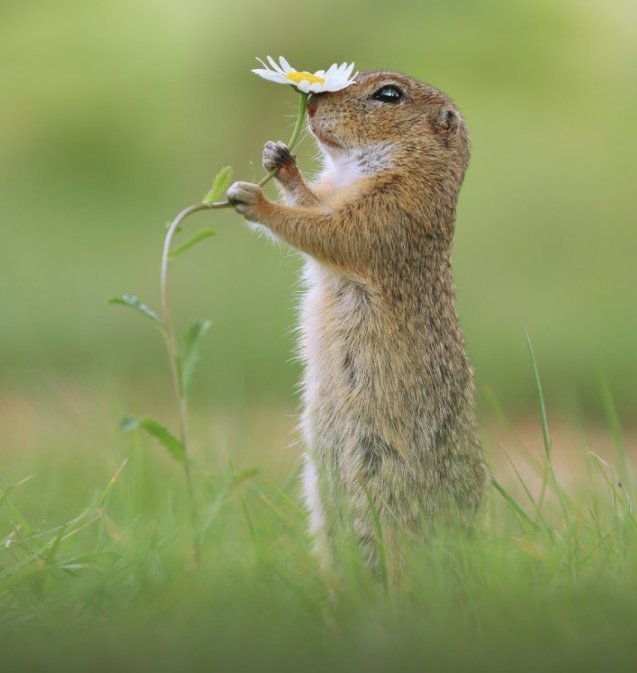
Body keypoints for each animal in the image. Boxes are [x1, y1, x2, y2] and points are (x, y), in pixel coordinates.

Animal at [227, 69, 486, 572]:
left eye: (388, 94)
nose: (310, 102)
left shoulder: (387, 213)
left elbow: (325, 230)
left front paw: (253, 198)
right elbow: (312, 204)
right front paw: (279, 159)